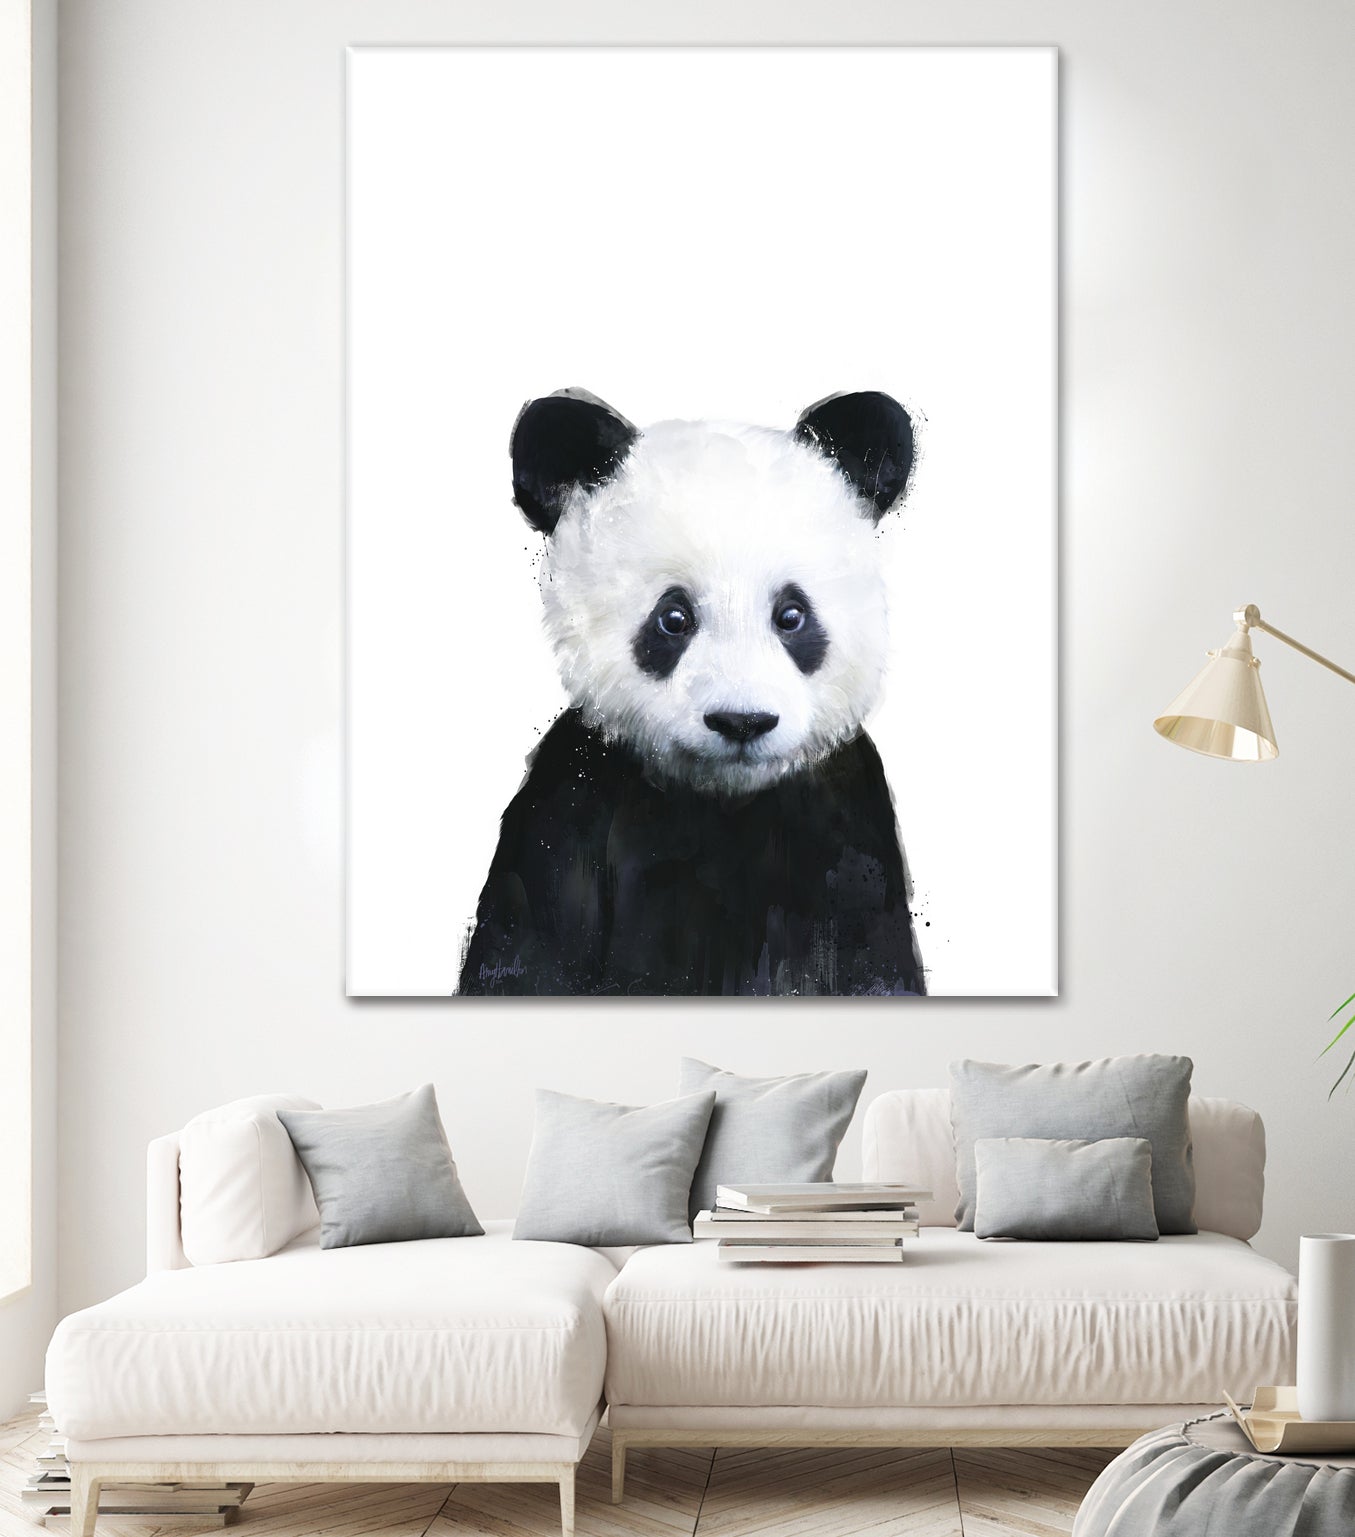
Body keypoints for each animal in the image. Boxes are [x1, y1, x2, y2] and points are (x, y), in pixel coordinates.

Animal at [458, 388, 927, 998]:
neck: (723, 799)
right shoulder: (570, 805)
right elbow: (529, 951)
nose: (742, 721)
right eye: (673, 618)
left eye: (791, 615)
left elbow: (873, 963)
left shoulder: (847, 824)